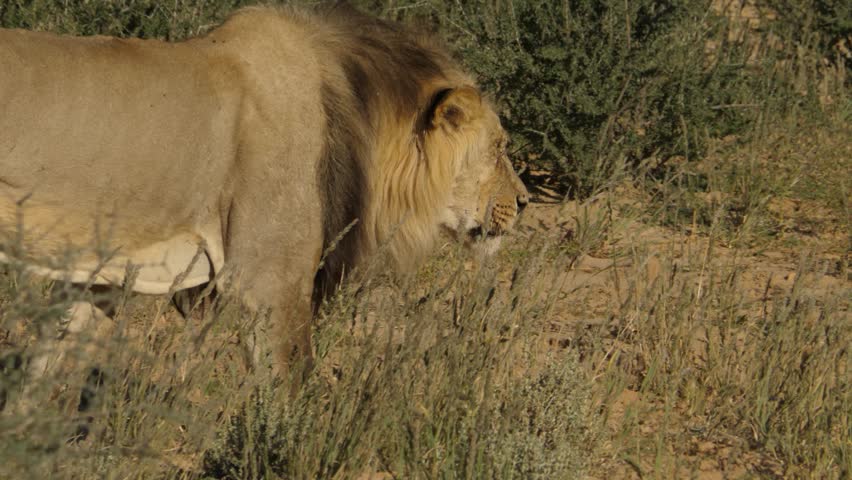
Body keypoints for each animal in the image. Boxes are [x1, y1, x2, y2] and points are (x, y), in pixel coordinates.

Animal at [0, 1, 528, 380]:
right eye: (500, 146)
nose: (523, 202)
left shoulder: (103, 269)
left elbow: (46, 370)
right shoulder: (271, 280)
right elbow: (291, 395)